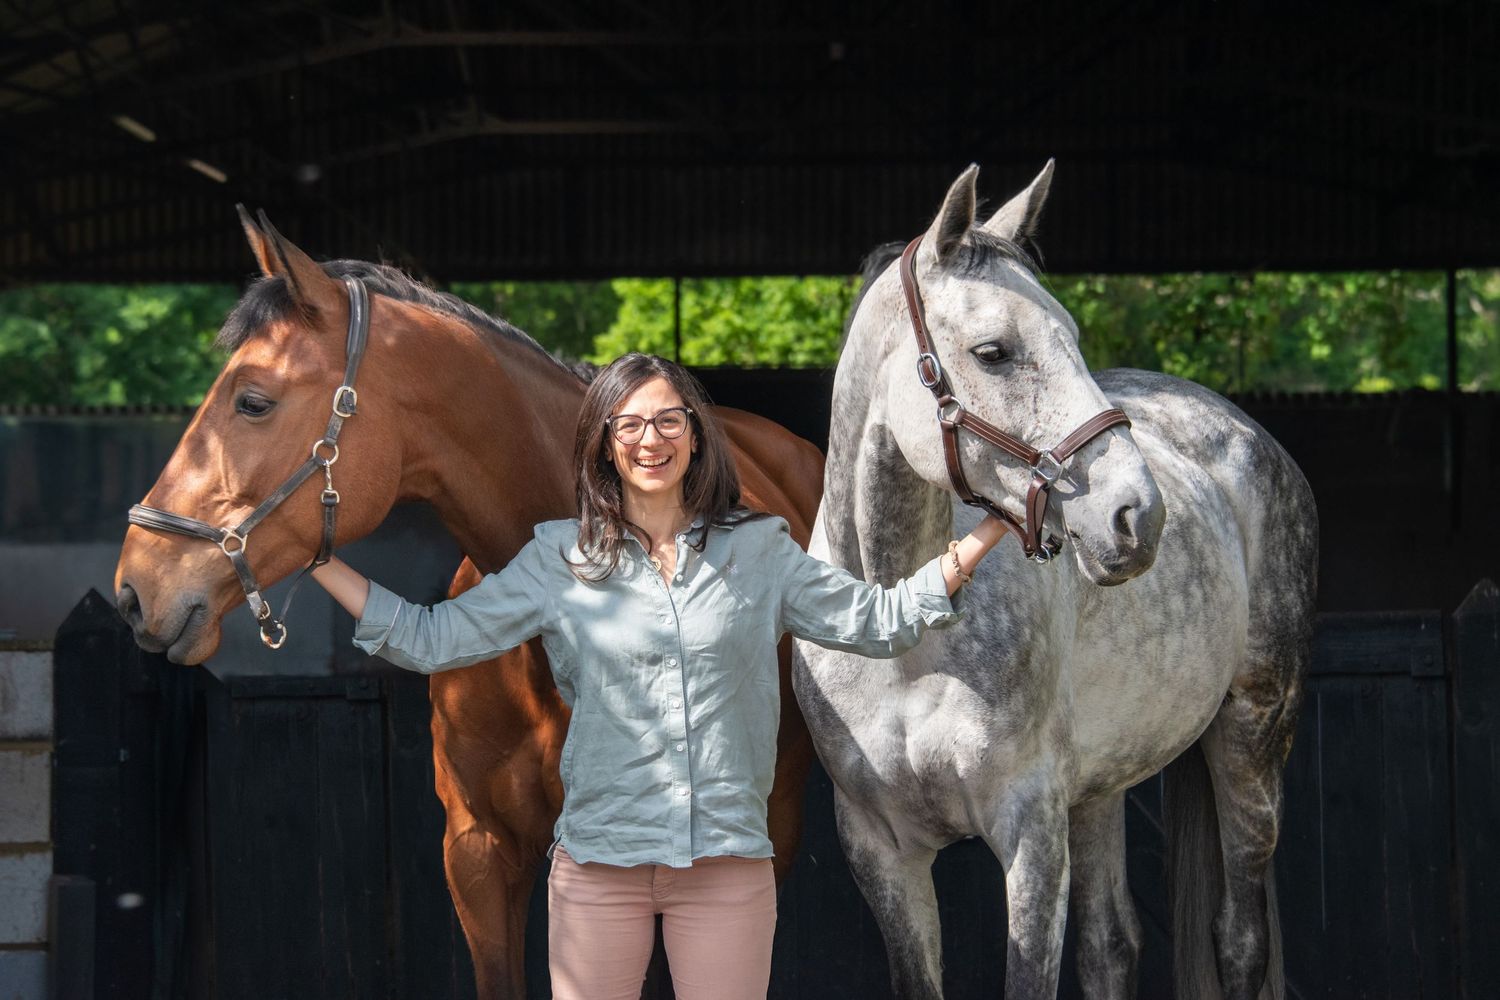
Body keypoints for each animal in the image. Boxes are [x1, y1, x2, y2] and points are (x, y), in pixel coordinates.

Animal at [792, 163, 1316, 1000]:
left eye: (1072, 336)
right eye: (994, 351)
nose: (1138, 516)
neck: (903, 634)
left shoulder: (1031, 836)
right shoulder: (881, 852)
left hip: (1254, 738)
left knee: (1239, 939)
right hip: (1101, 785)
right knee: (1111, 945)